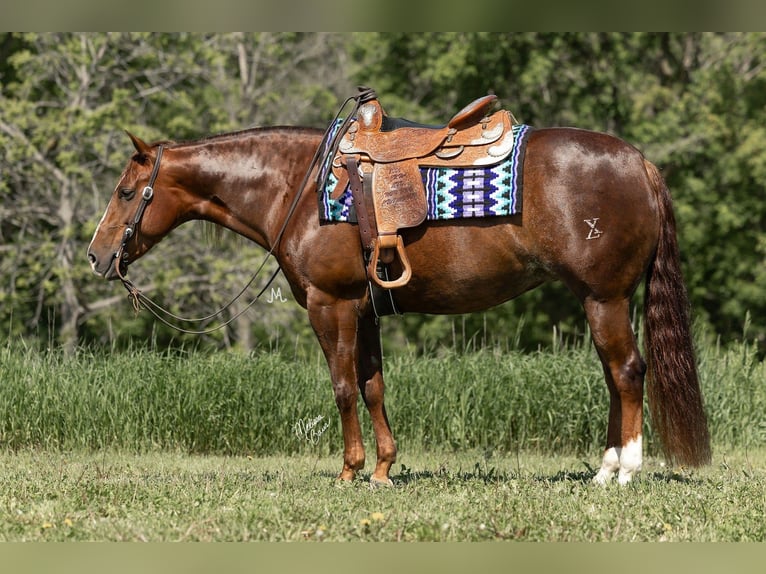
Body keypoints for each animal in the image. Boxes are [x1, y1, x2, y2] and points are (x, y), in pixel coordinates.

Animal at [85, 112, 712, 486]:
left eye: (126, 192)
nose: (96, 256)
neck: (299, 187)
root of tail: (640, 163)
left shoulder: (331, 305)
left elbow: (342, 388)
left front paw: (349, 471)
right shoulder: (363, 311)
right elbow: (373, 386)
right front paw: (384, 469)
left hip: (605, 298)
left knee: (627, 372)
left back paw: (624, 471)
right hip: (599, 300)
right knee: (613, 376)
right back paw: (605, 468)